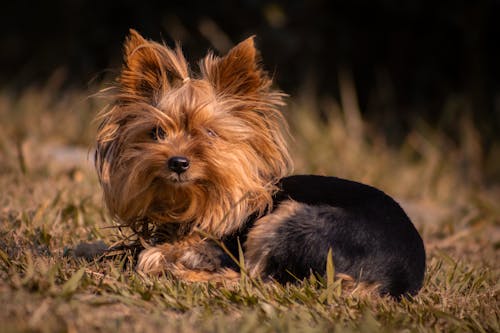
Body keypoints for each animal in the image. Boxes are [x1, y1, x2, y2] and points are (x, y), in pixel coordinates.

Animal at [94, 29, 426, 296]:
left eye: (210, 133)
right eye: (158, 133)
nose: (178, 162)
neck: (193, 204)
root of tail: (393, 280)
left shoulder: (220, 246)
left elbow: (153, 255)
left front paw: (164, 260)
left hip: (288, 220)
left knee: (255, 279)